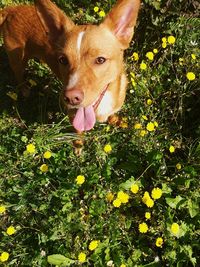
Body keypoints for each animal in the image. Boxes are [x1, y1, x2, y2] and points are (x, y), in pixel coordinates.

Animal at [0, 0, 141, 132]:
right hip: (17, 61)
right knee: (19, 76)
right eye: (63, 60)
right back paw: (24, 90)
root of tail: (11, 10)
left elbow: (113, 115)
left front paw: (116, 120)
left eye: (100, 60)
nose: (71, 98)